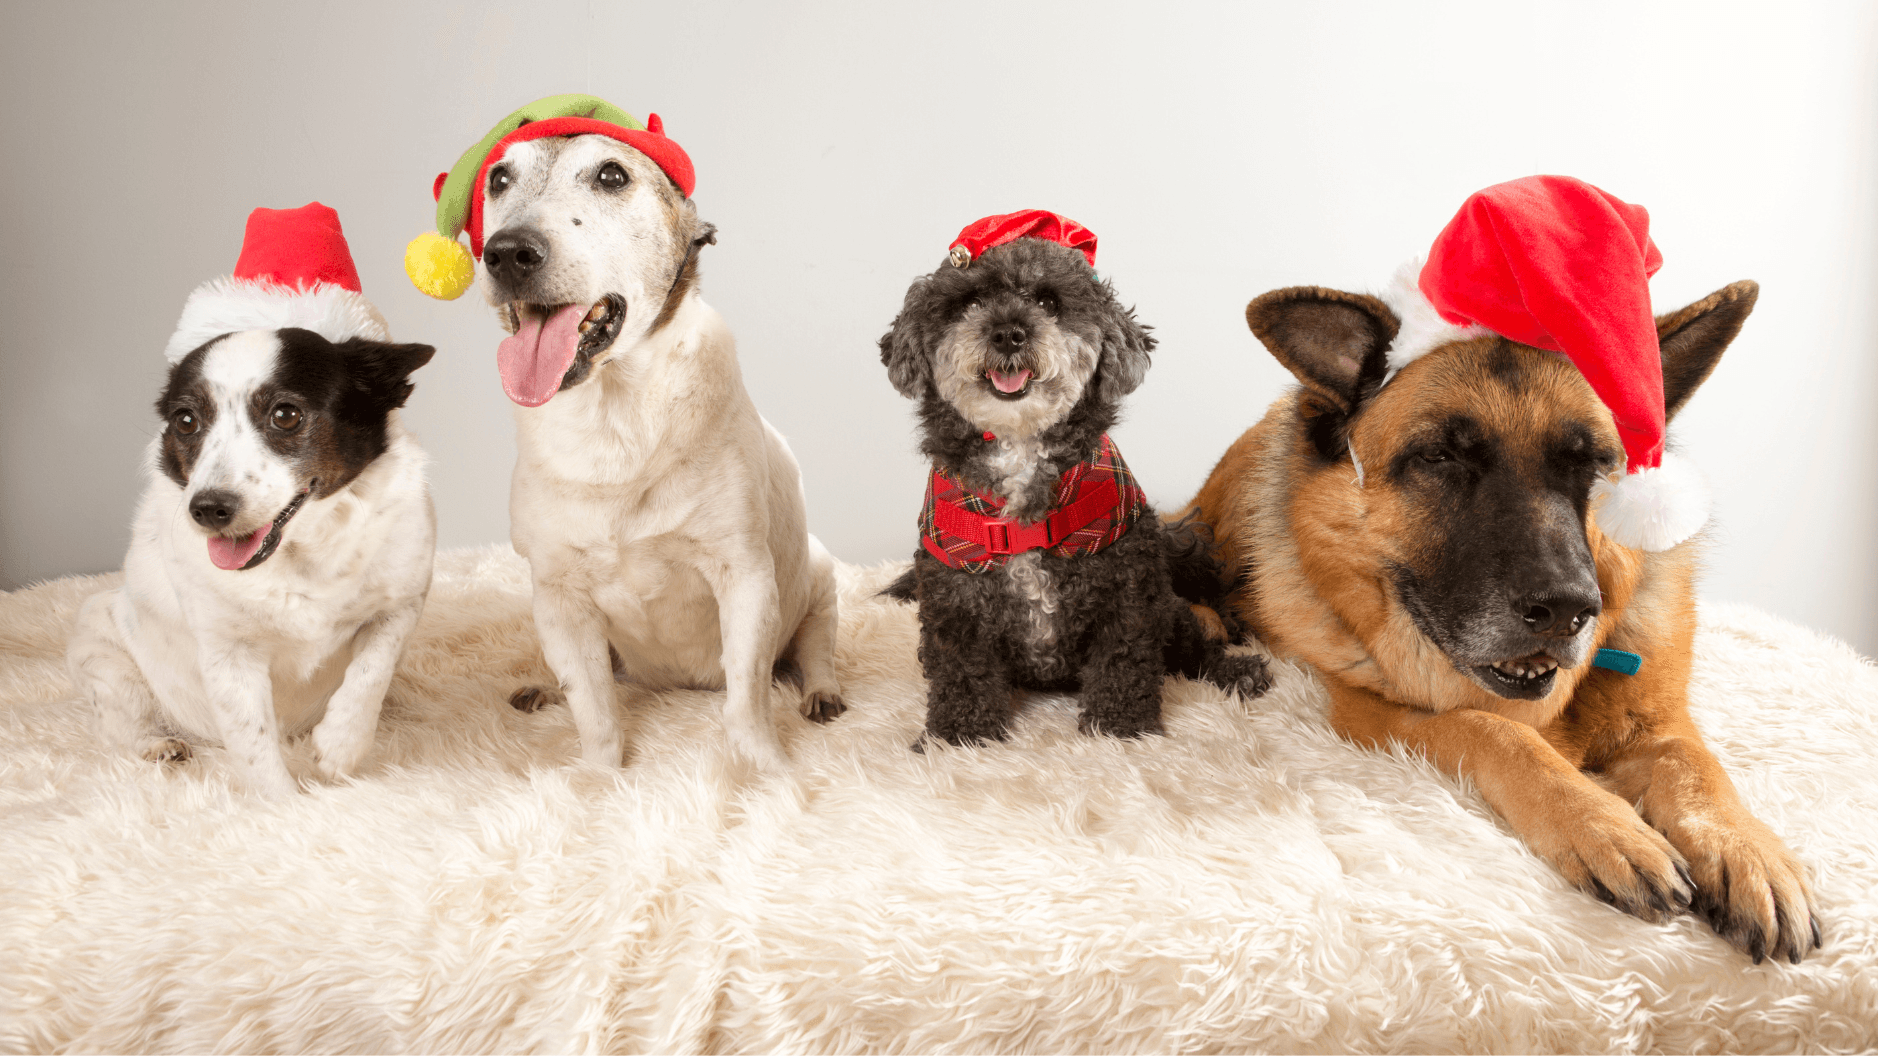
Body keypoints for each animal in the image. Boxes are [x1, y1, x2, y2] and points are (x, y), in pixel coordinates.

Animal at [68, 217, 437, 792]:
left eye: (286, 414)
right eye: (186, 421)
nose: (207, 509)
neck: (303, 556)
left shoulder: (400, 606)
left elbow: (369, 674)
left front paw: (341, 747)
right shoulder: (229, 654)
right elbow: (254, 744)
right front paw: (283, 806)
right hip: (102, 646)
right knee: (119, 720)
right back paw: (156, 745)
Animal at [473, 123, 848, 770]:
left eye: (611, 175)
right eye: (498, 178)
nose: (508, 252)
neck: (613, 419)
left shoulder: (745, 576)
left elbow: (747, 695)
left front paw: (768, 768)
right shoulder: (558, 596)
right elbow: (593, 708)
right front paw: (599, 775)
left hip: (818, 577)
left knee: (815, 645)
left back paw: (820, 691)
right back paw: (542, 686)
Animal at [875, 209, 1262, 744]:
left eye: (1048, 302)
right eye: (969, 302)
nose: (1009, 333)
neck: (1019, 444)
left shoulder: (1127, 583)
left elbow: (1125, 658)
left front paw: (1121, 728)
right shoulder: (954, 593)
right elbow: (961, 667)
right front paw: (960, 736)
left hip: (1169, 605)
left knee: (1190, 642)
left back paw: (1235, 671)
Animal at [1186, 279, 1817, 962]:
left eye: (1591, 464)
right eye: (1439, 457)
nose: (1567, 611)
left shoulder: (1661, 721)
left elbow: (1695, 765)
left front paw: (1749, 850)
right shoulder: (1372, 715)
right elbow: (1490, 729)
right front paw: (1600, 822)